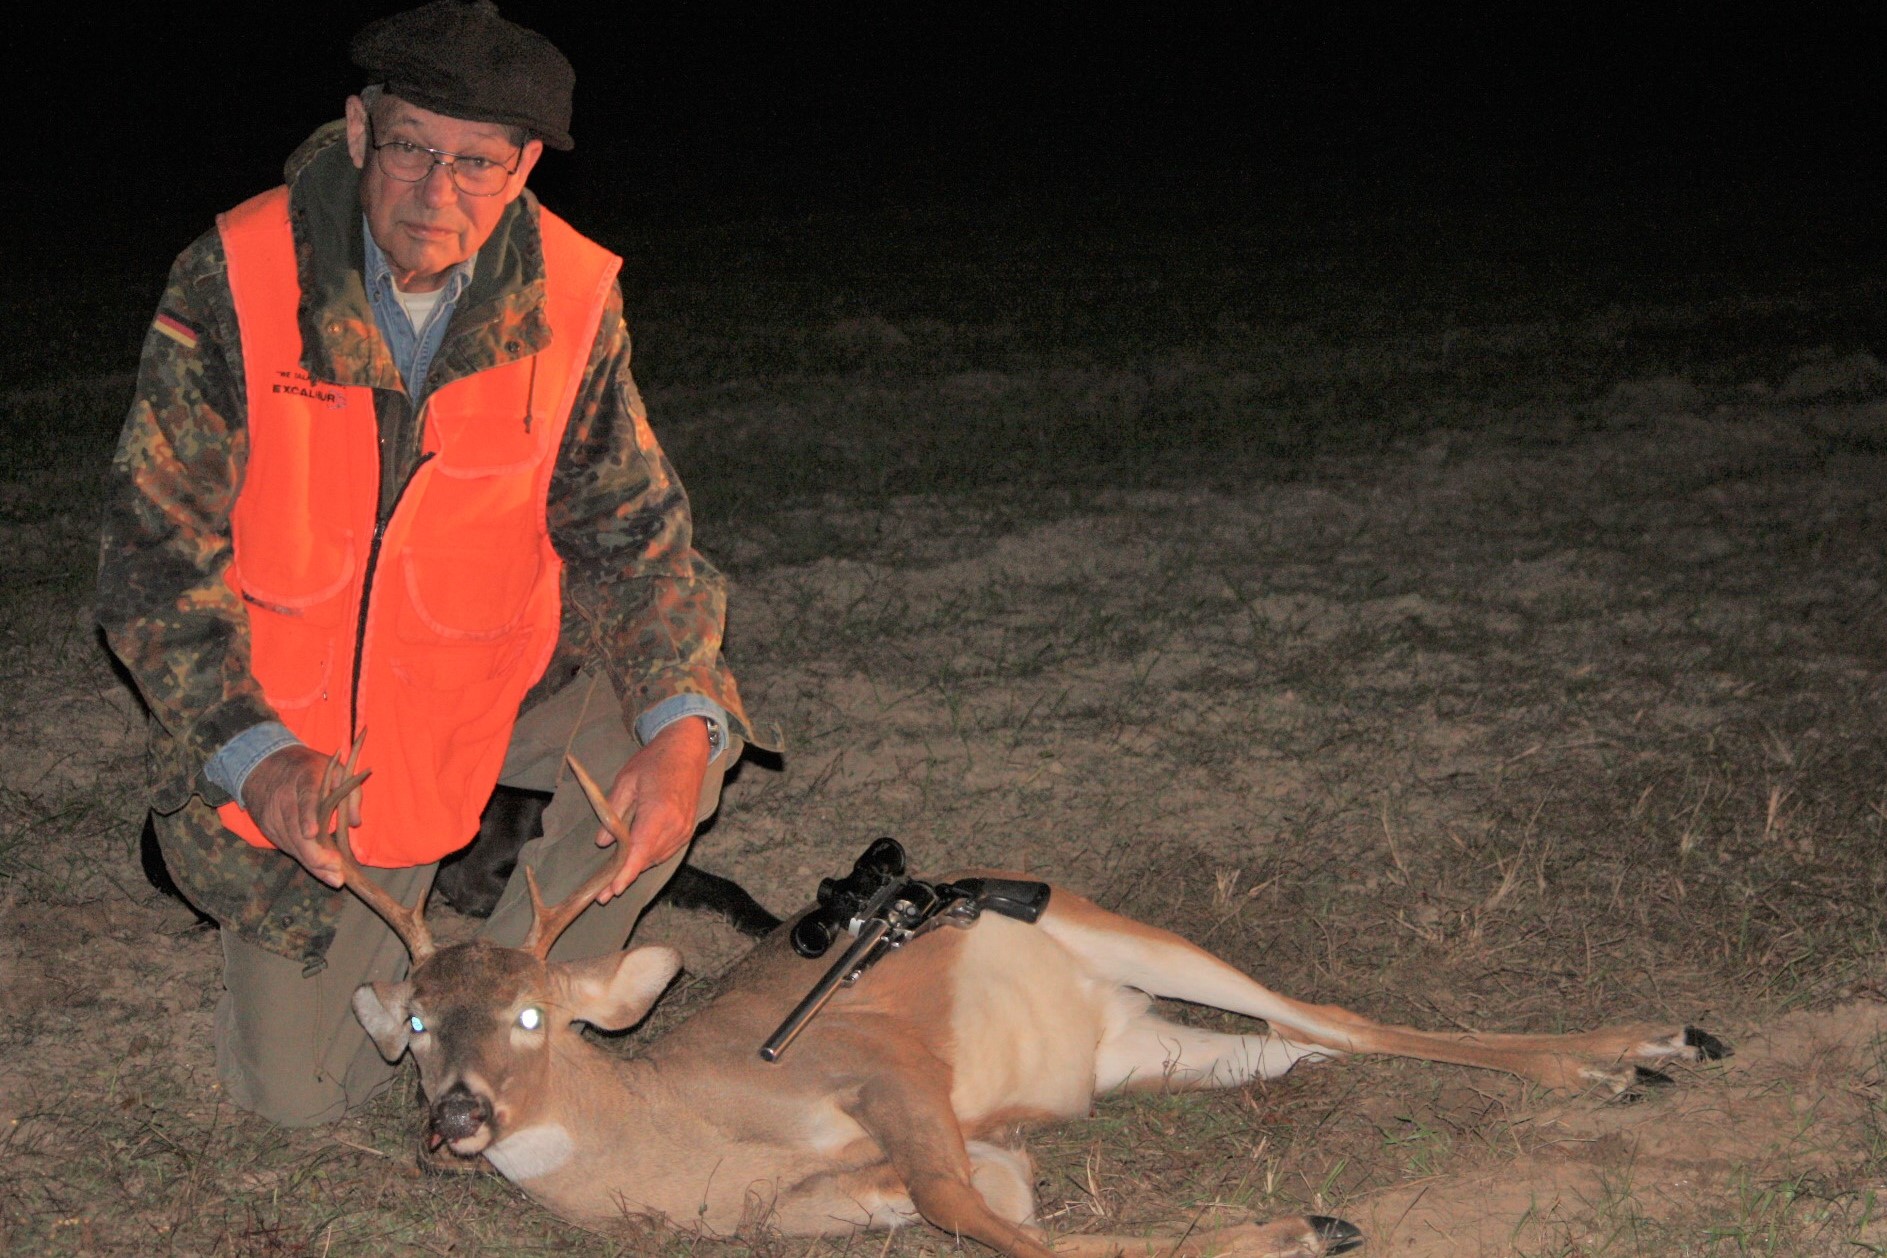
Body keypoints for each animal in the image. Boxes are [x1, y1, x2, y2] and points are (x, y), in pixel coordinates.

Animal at [315, 740, 1725, 1258]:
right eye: (421, 1023)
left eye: (538, 1015)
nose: (459, 1115)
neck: (689, 1135)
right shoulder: (861, 1192)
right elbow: (1003, 1213)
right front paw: (1296, 1223)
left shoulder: (873, 1059)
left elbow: (990, 1222)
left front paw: (1299, 1225)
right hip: (1146, 1052)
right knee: (1305, 1043)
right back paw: (1634, 1055)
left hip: (1115, 924)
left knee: (1338, 1016)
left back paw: (1642, 1043)